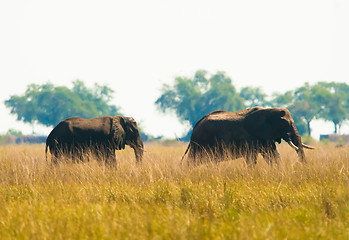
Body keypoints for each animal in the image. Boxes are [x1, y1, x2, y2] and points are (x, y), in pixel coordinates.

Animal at [181, 106, 314, 165]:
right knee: (193, 161)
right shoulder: (254, 136)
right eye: (286, 124)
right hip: (200, 142)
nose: (301, 166)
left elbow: (272, 155)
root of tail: (195, 126)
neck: (269, 110)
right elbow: (254, 158)